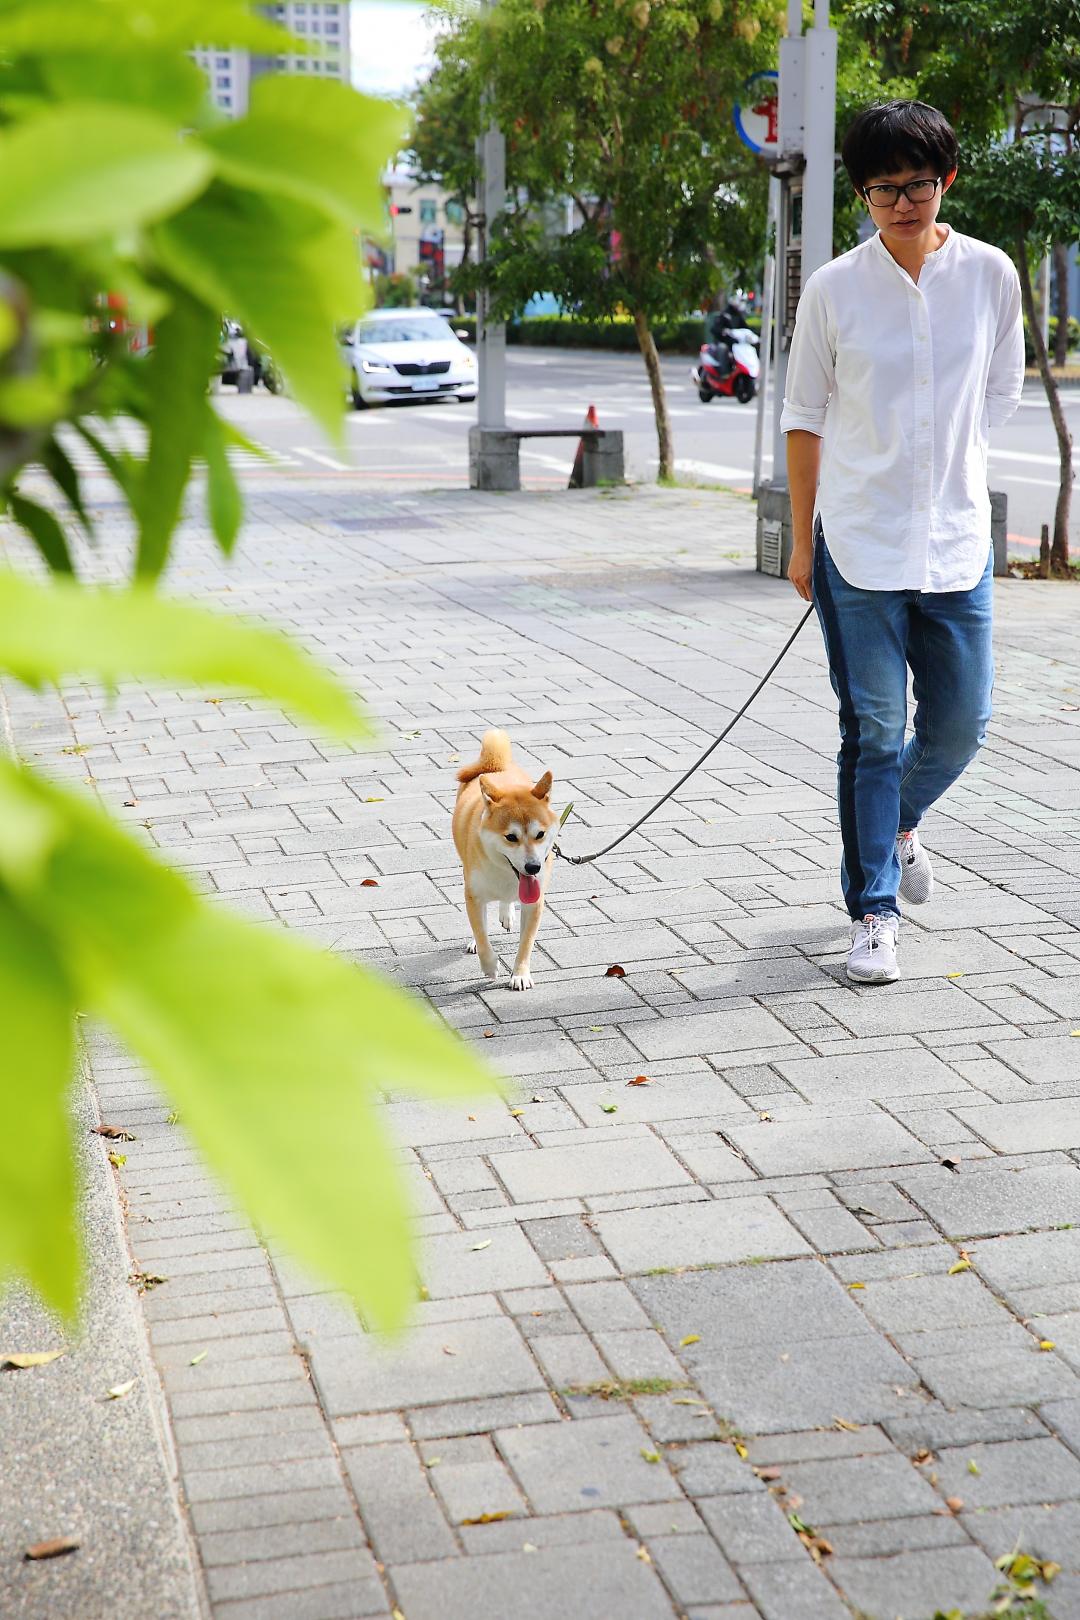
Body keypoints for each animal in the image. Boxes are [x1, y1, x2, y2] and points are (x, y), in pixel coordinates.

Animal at [456, 732, 557, 984]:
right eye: (511, 837)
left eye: (540, 834)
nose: (533, 867)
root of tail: (496, 767)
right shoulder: (474, 895)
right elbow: (481, 935)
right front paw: (490, 966)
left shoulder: (535, 901)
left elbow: (526, 942)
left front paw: (520, 974)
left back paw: (506, 912)